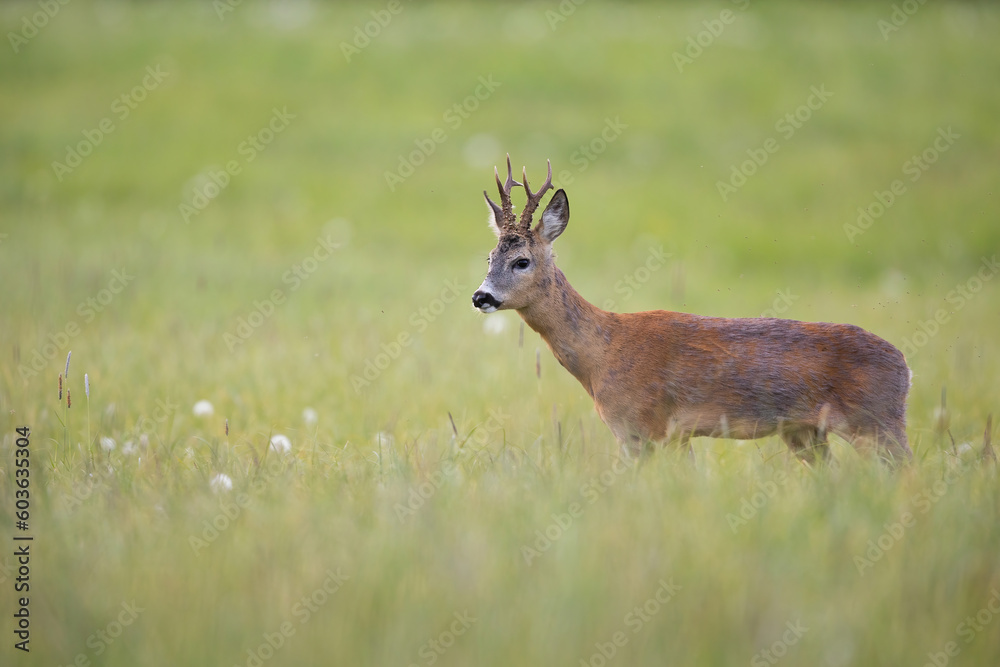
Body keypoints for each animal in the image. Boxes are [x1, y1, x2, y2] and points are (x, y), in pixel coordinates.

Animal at [471, 157, 912, 464]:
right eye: (489, 257)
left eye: (522, 261)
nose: (481, 297)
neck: (602, 355)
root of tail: (905, 368)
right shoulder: (675, 436)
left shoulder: (640, 426)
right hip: (808, 433)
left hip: (875, 421)